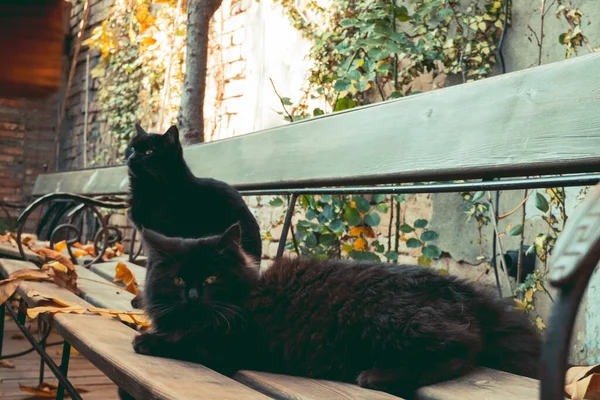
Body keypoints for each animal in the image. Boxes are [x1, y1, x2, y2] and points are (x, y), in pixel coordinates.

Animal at [132, 223, 544, 396]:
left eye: (212, 279)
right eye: (179, 280)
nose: (193, 296)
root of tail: (460, 288)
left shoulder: (225, 344)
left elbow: (186, 341)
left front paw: (148, 340)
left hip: (385, 321)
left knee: (460, 348)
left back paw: (375, 377)